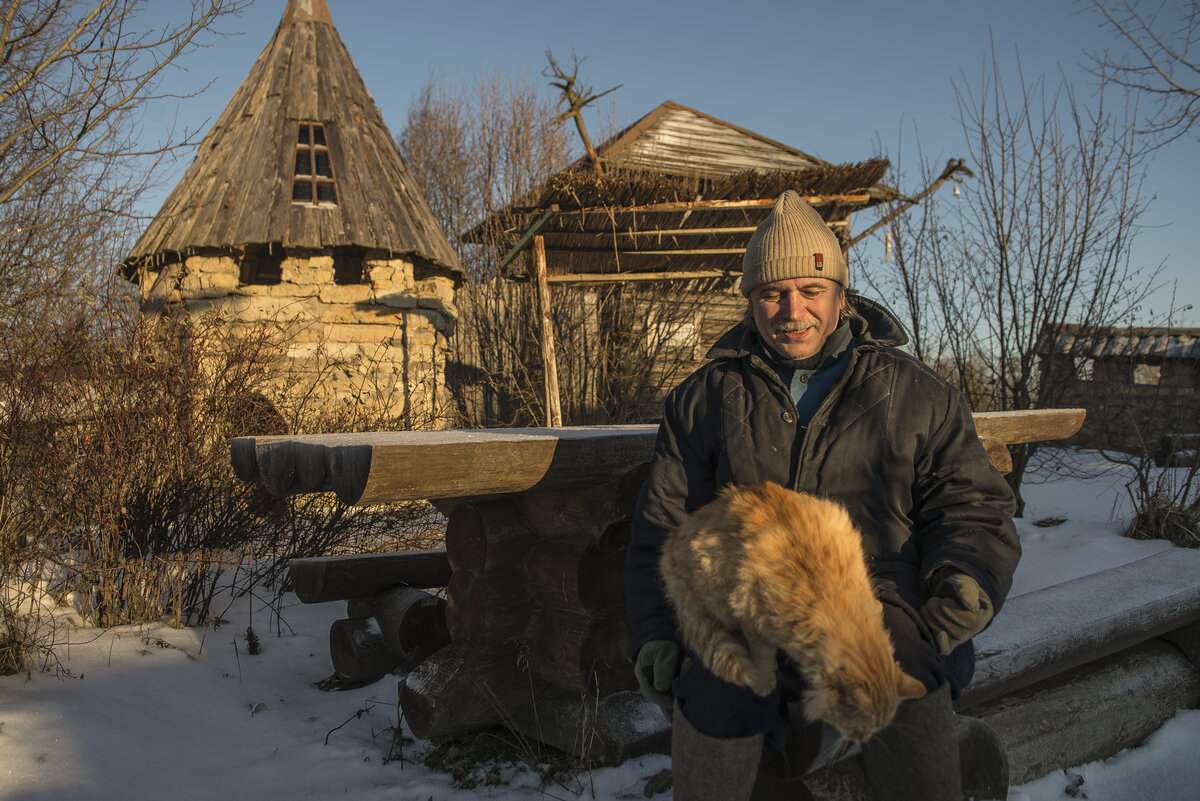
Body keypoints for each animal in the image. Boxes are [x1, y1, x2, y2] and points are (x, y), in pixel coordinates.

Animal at [662, 479, 921, 743]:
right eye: (861, 727)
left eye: (876, 729)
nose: (861, 740)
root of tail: (670, 547)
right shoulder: (752, 616)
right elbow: (763, 657)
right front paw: (764, 682)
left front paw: (877, 607)